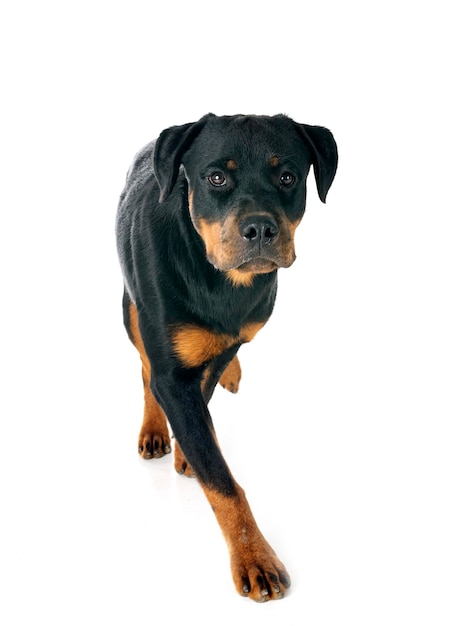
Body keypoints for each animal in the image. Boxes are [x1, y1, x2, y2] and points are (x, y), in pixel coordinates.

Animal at [116, 113, 336, 600]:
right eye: (216, 177)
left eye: (288, 176)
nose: (260, 228)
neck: (220, 280)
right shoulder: (168, 367)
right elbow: (221, 478)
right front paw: (255, 559)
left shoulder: (235, 332)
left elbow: (206, 390)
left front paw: (192, 448)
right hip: (129, 307)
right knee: (143, 365)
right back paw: (155, 428)